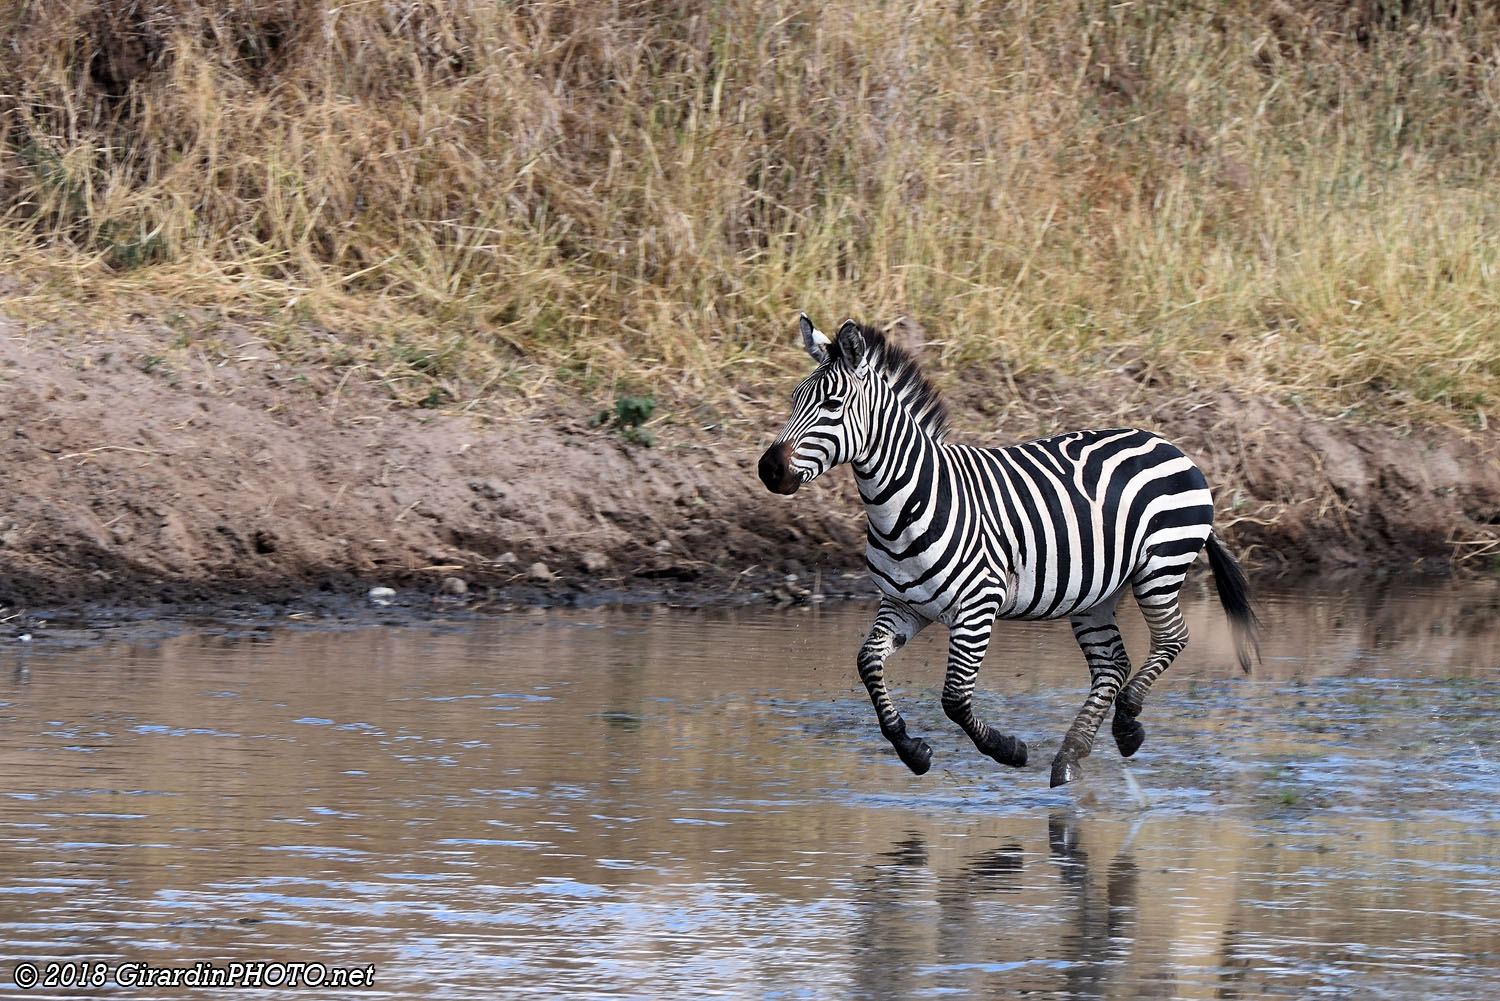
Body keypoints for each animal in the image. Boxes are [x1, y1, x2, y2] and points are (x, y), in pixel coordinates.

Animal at [757, 315, 1260, 787]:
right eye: (794, 400)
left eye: (832, 405)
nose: (768, 470)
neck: (905, 503)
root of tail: (1168, 444)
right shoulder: (904, 605)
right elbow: (867, 664)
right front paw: (911, 750)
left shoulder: (979, 606)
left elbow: (954, 699)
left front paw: (1007, 750)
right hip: (1097, 595)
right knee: (1112, 666)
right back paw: (1071, 756)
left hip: (1160, 568)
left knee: (1172, 639)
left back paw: (1128, 724)